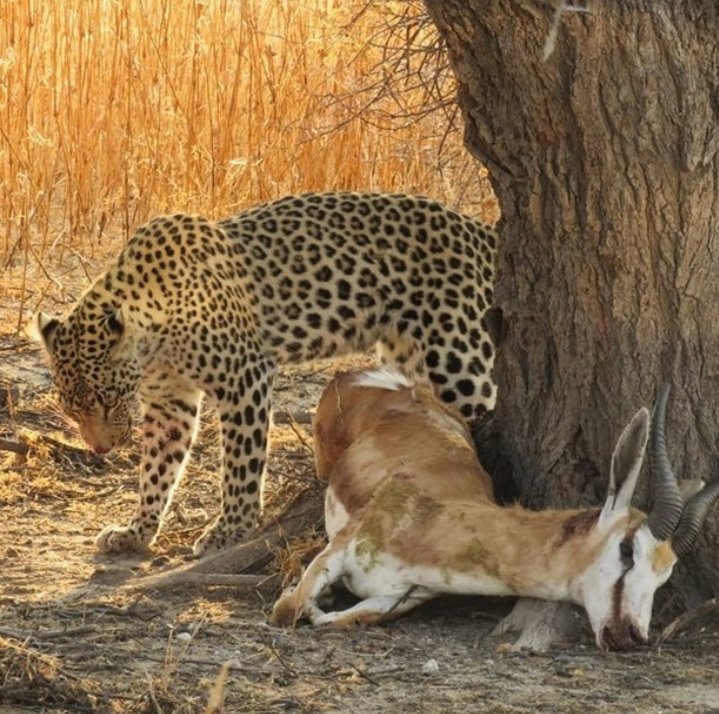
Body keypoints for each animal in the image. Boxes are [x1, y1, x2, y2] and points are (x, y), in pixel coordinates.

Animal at [36, 191, 498, 556]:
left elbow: (241, 462)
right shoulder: (171, 402)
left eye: (108, 401)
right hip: (405, 351)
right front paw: (136, 532)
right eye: (73, 411)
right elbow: (158, 468)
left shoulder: (244, 376)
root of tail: (480, 231)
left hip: (459, 355)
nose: (101, 449)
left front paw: (230, 530)